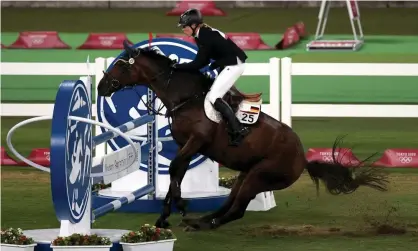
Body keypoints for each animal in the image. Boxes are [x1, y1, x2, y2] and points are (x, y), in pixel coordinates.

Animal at [95, 41, 388, 231]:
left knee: (236, 210)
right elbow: (177, 172)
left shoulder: (196, 141)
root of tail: (303, 159)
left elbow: (177, 168)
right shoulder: (187, 145)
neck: (186, 97)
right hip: (246, 174)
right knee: (229, 203)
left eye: (121, 66)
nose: (101, 87)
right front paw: (166, 214)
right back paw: (201, 220)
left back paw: (205, 224)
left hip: (260, 176)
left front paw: (179, 205)